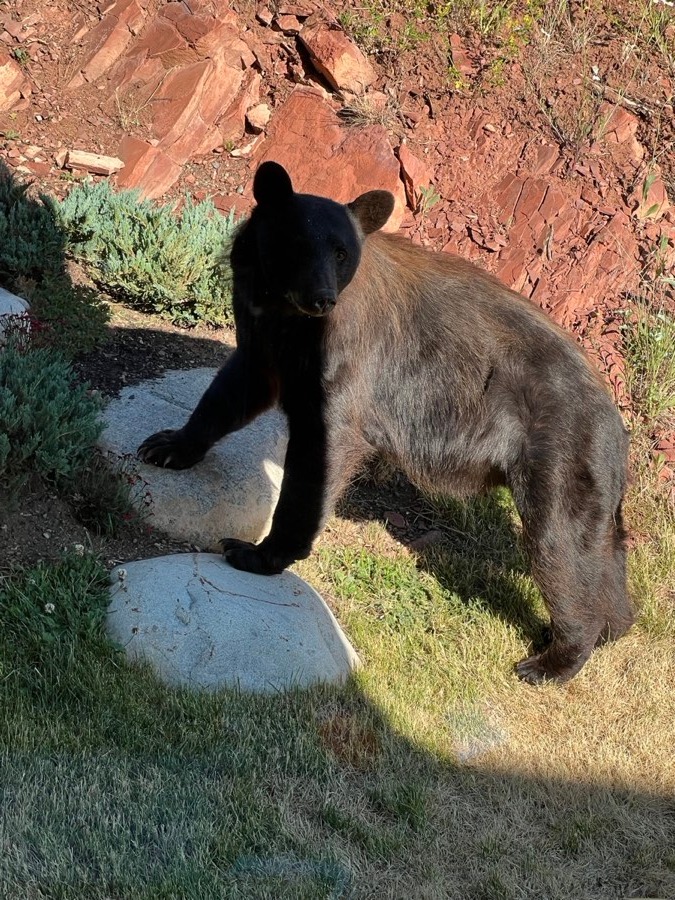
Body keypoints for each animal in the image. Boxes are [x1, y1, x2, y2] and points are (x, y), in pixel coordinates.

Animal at [138, 160, 634, 684]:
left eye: (341, 252)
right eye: (298, 242)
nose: (322, 298)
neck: (285, 313)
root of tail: (616, 426)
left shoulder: (345, 359)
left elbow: (321, 451)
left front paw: (257, 552)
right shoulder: (266, 338)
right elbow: (234, 390)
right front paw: (168, 445)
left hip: (558, 452)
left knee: (559, 546)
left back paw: (553, 659)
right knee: (600, 551)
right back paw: (611, 626)